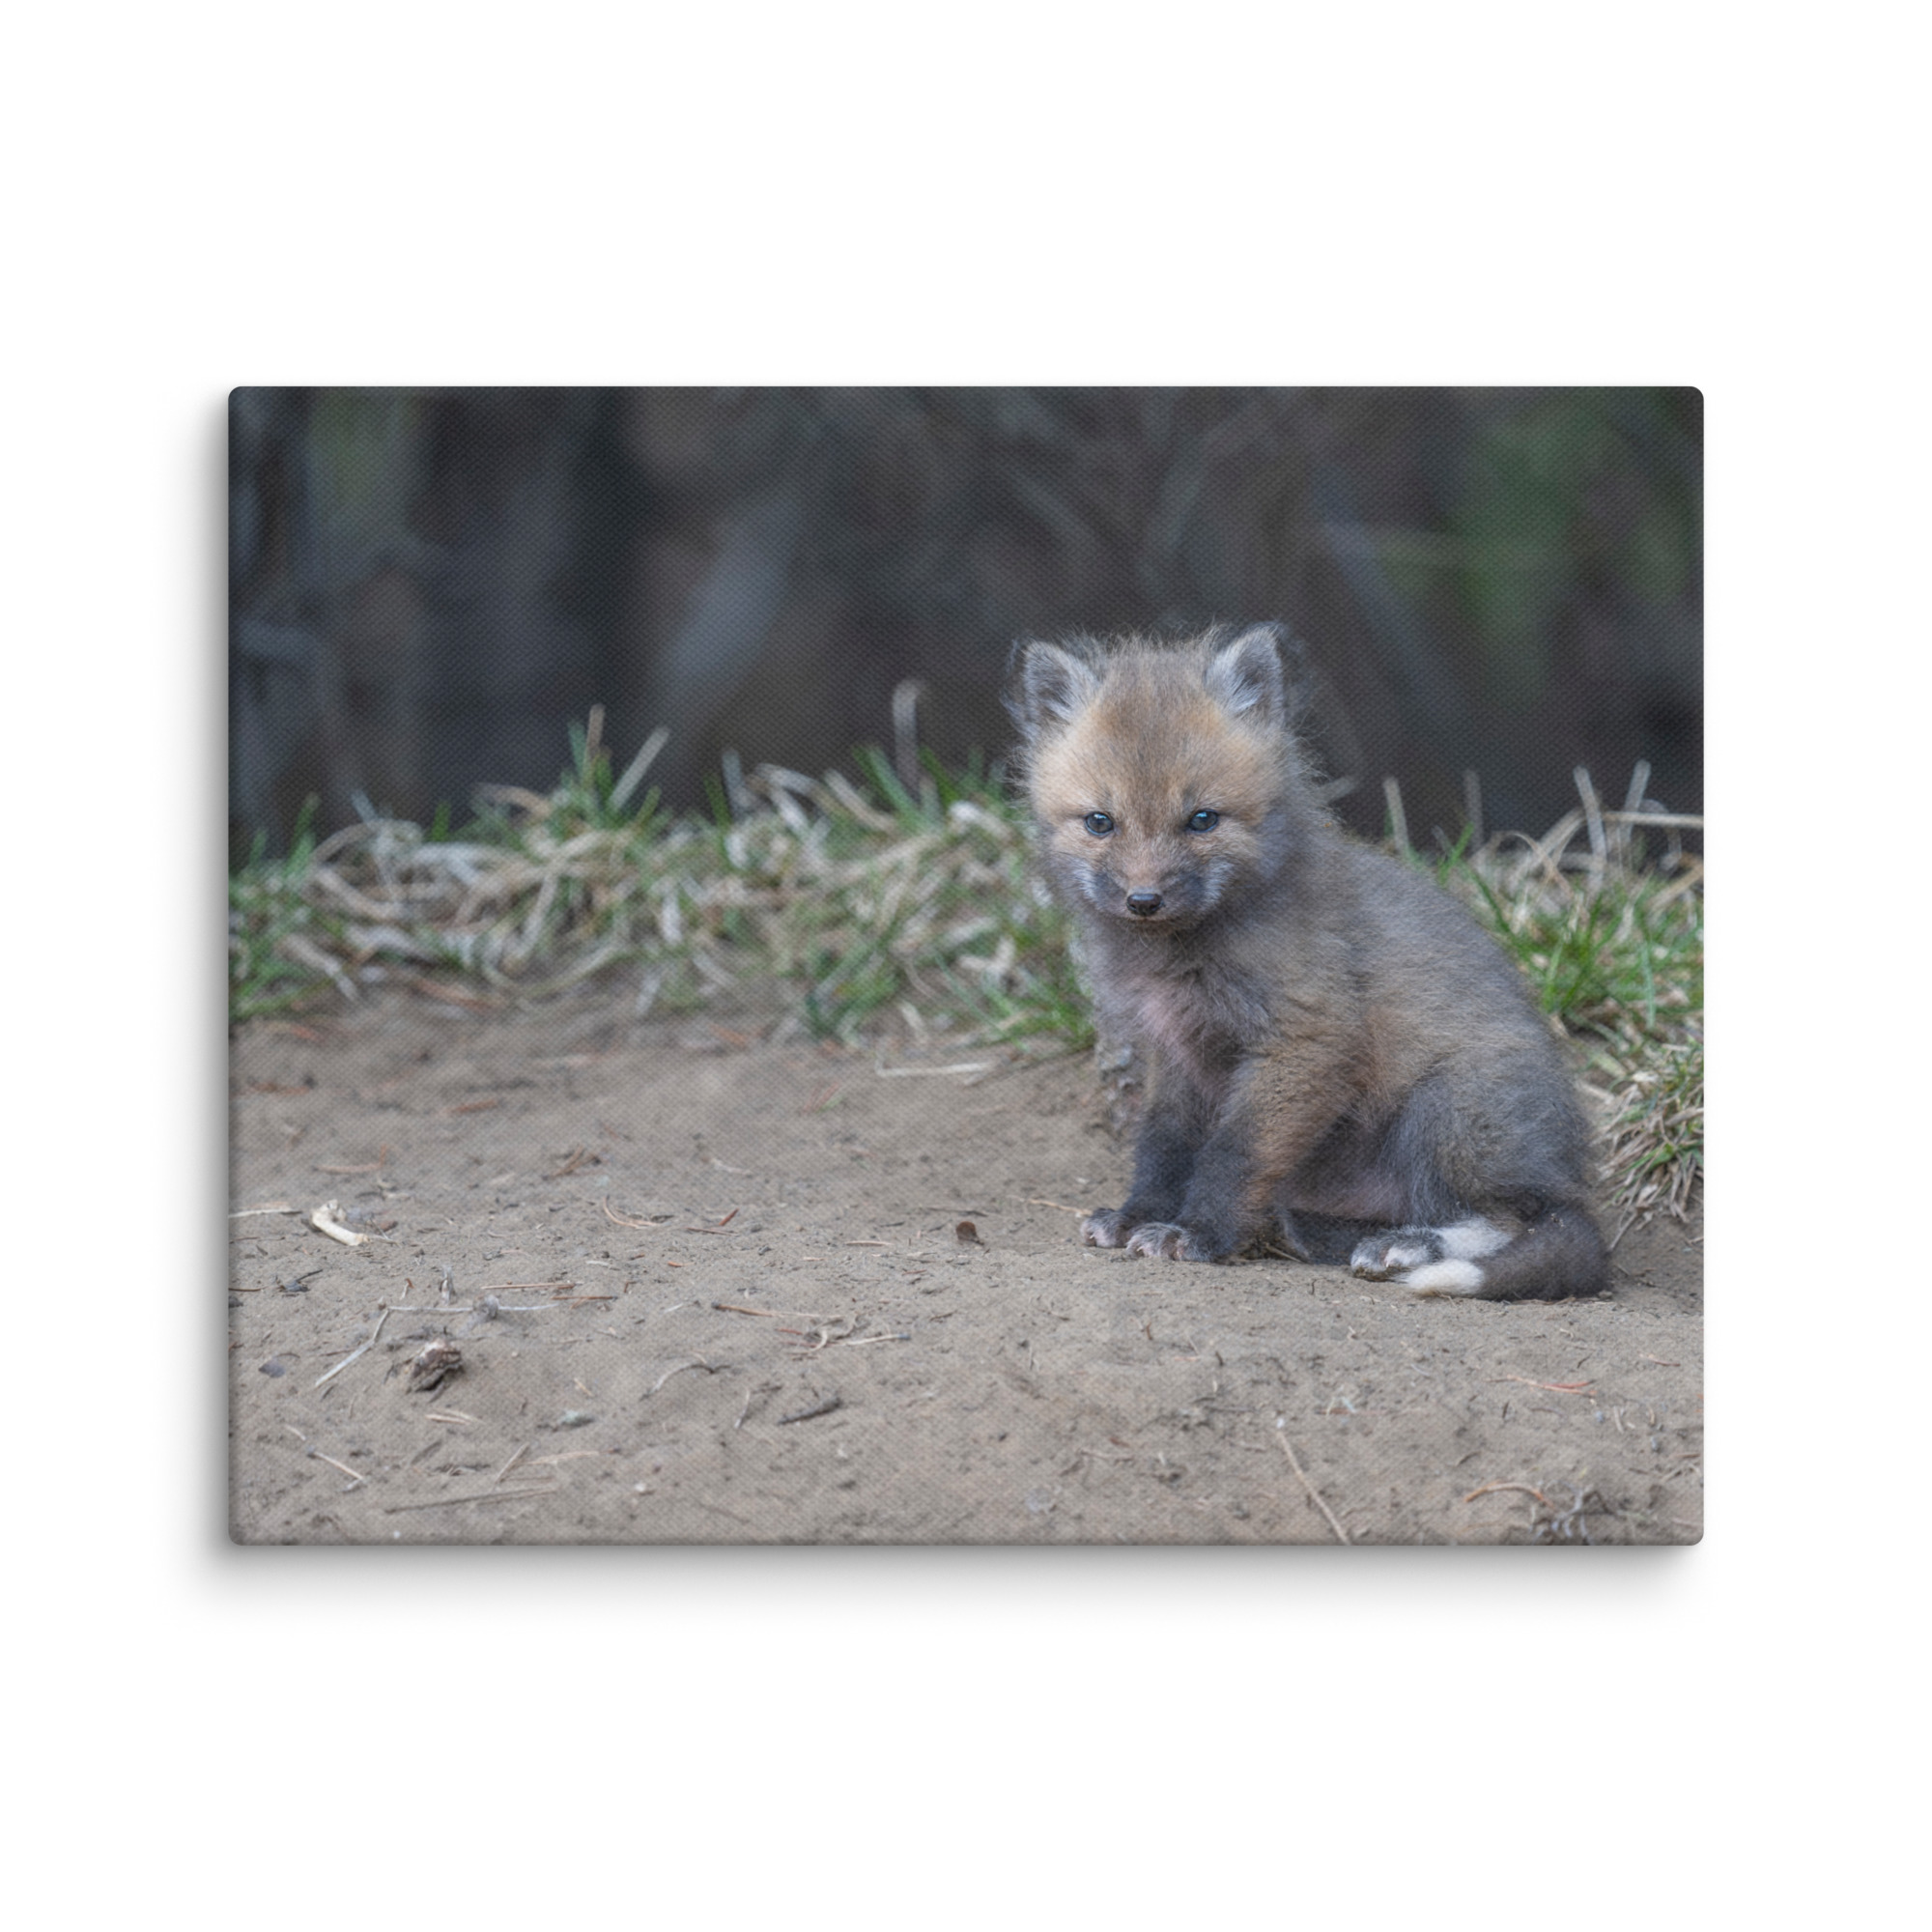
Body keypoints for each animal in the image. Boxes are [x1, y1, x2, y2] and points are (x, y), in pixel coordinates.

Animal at [1007, 622, 1609, 1300]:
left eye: (1202, 820)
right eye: (1100, 822)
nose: (1144, 900)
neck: (1182, 957)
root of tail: (1565, 1170)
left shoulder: (1306, 1037)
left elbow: (1234, 1153)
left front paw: (1198, 1234)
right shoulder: (1176, 1051)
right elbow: (1163, 1146)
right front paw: (1140, 1215)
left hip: (1447, 1110)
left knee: (1520, 1219)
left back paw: (1407, 1247)